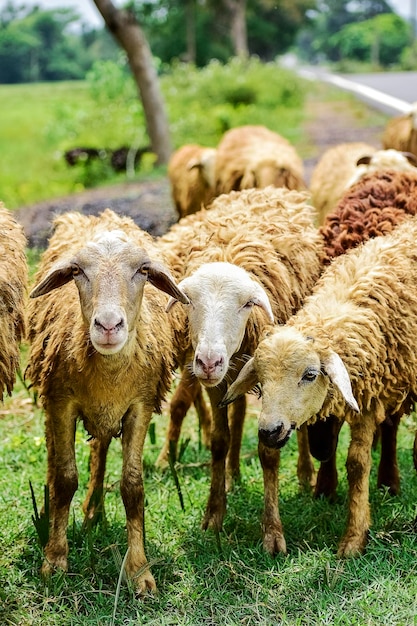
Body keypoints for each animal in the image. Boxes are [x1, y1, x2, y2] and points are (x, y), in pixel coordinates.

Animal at [24, 207, 188, 592]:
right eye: (76, 271)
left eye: (143, 271)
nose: (109, 325)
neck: (110, 373)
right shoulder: (61, 402)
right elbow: (65, 479)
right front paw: (54, 560)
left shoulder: (140, 406)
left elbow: (132, 486)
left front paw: (140, 572)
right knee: (55, 459)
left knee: (100, 450)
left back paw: (94, 511)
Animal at [158, 185, 324, 552]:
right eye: (189, 302)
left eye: (247, 304)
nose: (208, 362)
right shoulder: (218, 382)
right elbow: (219, 440)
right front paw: (214, 514)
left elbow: (269, 450)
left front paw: (272, 532)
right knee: (236, 417)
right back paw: (233, 475)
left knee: (300, 422)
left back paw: (306, 475)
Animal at [221, 214, 417, 556]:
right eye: (260, 380)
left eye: (310, 374)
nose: (269, 430)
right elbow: (272, 456)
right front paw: (272, 535)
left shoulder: (369, 397)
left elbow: (357, 463)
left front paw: (354, 538)